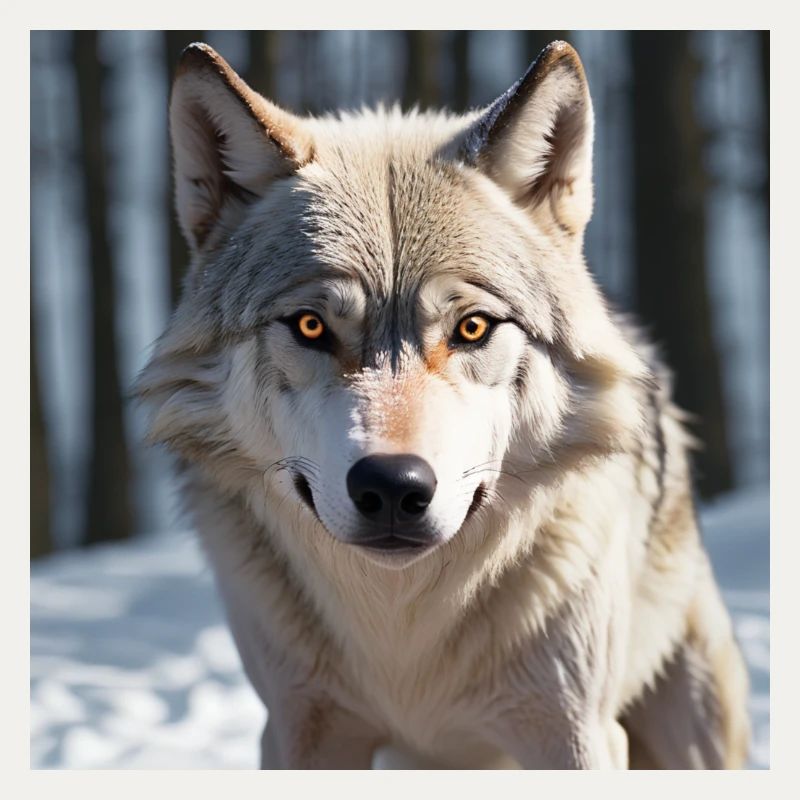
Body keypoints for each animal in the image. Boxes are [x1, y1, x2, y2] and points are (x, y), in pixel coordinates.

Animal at [137, 40, 750, 768]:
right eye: (311, 327)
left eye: (474, 327)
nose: (392, 487)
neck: (404, 635)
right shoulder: (299, 729)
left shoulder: (575, 733)